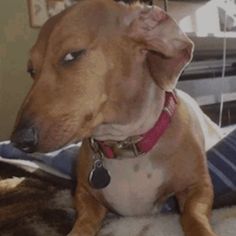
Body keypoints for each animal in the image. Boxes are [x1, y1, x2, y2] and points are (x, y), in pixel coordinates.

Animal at [10, 0, 221, 235]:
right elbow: (84, 219)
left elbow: (193, 215)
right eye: (31, 70)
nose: (19, 140)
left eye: (72, 55)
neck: (125, 144)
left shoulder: (199, 186)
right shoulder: (83, 193)